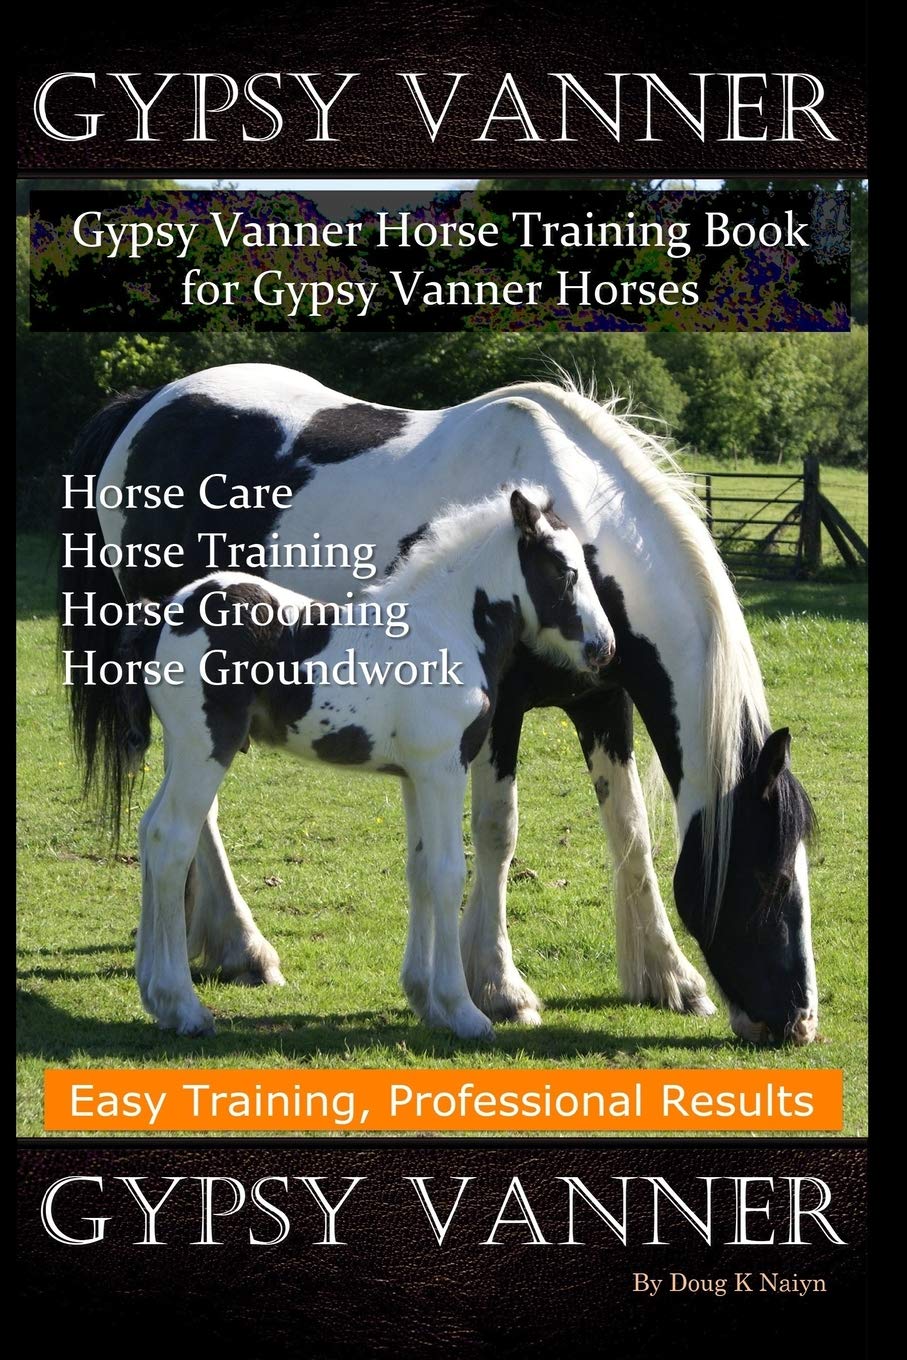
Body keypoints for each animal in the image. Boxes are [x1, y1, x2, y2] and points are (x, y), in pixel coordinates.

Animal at [109, 486, 615, 1038]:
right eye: (563, 570)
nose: (604, 648)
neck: (445, 631)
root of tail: (164, 616)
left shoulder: (415, 776)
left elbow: (420, 871)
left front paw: (426, 1000)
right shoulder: (443, 768)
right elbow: (447, 873)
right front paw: (463, 1011)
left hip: (182, 749)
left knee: (149, 832)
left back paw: (154, 995)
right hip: (204, 748)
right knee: (171, 840)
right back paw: (184, 1006)